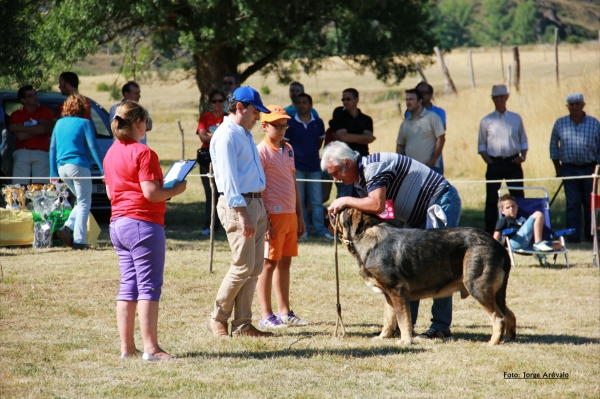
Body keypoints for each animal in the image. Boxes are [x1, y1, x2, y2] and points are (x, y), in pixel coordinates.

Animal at [332, 208, 516, 346]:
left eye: (337, 213)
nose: (329, 214)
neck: (367, 236)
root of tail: (499, 246)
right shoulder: (389, 295)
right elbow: (389, 319)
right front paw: (383, 337)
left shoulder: (398, 291)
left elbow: (403, 319)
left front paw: (405, 341)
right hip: (495, 293)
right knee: (509, 314)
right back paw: (509, 338)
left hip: (478, 287)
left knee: (499, 318)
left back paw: (492, 342)